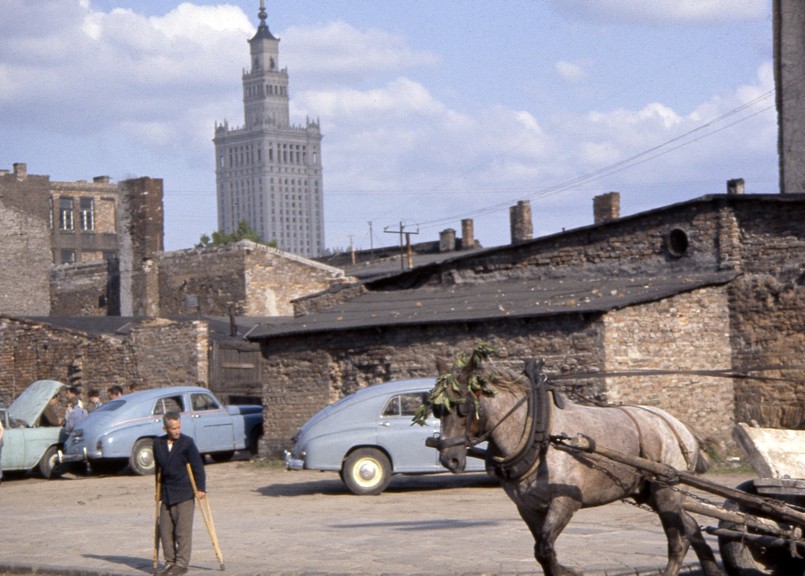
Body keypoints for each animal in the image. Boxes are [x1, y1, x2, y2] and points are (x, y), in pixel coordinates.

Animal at [420, 346, 724, 576]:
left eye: (462, 407)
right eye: (436, 408)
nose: (450, 459)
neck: (538, 434)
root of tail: (678, 425)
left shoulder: (565, 502)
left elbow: (545, 549)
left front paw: (570, 571)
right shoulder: (528, 507)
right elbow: (543, 554)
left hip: (666, 491)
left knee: (678, 542)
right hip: (649, 491)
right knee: (691, 528)